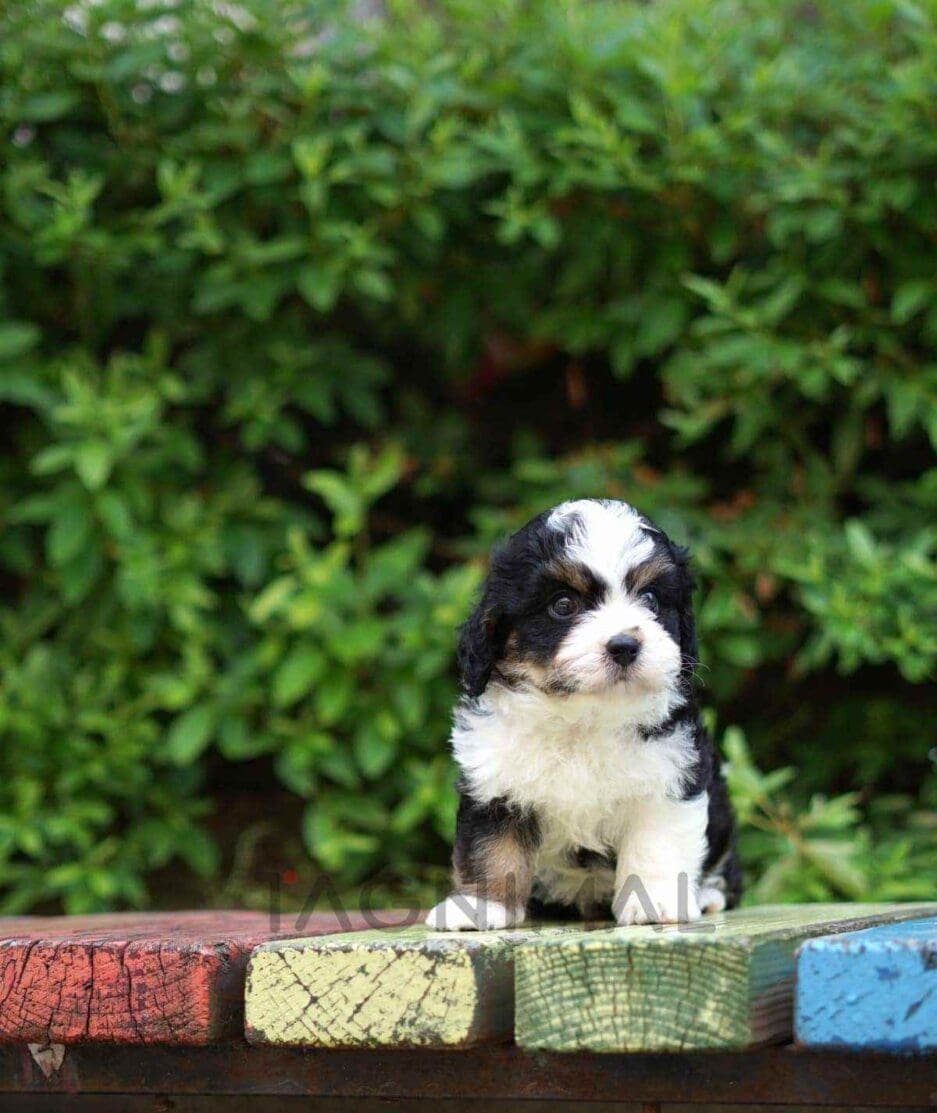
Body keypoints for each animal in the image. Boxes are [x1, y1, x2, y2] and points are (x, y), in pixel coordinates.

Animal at [427, 498, 743, 930]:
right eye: (563, 605)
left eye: (650, 599)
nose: (625, 645)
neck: (583, 718)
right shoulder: (495, 781)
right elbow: (491, 847)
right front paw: (479, 908)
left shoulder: (672, 771)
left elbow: (657, 840)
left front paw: (651, 902)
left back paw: (709, 894)